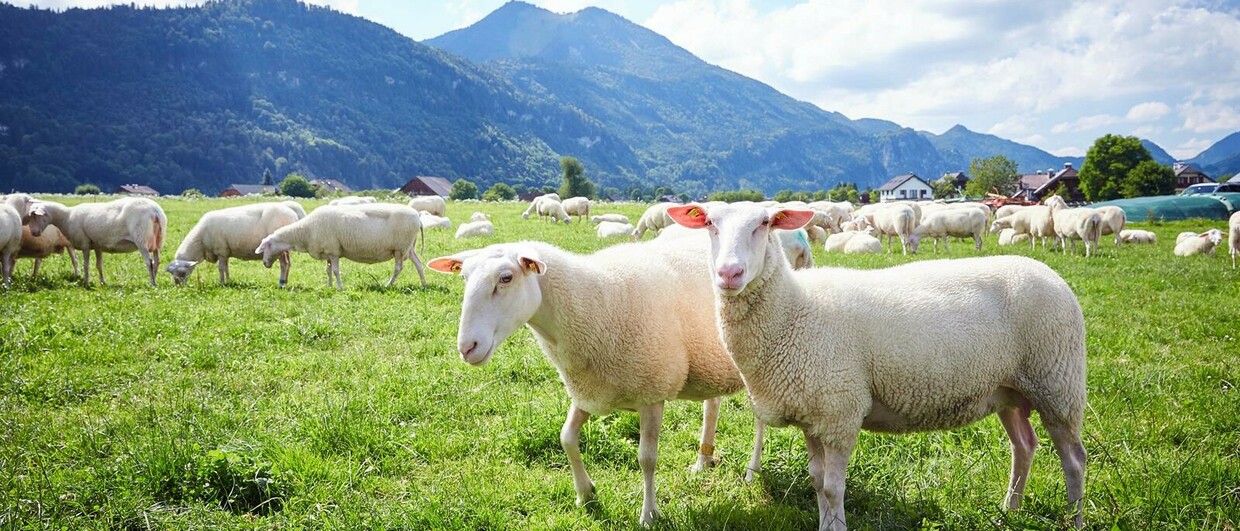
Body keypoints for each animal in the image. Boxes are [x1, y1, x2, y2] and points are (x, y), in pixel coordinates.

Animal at [25, 198, 167, 287]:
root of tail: (155, 211)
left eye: (35, 216)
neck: (66, 217)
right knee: (157, 261)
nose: (33, 233)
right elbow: (99, 265)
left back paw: (151, 283)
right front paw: (103, 282)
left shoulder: (85, 243)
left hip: (141, 238)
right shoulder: (97, 245)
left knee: (149, 262)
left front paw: (86, 283)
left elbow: (86, 265)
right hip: (158, 240)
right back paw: (155, 279)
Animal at [166, 203, 301, 286]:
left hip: (278, 247)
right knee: (288, 263)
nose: (178, 286)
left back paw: (281, 283)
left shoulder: (220, 250)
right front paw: (228, 281)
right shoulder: (225, 252)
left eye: (183, 272)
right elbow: (226, 267)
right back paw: (286, 281)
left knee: (284, 264)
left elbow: (221, 268)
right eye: (172, 273)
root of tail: (291, 211)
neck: (200, 242)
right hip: (285, 248)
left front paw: (221, 283)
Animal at [255, 203, 425, 290]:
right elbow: (328, 270)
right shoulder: (328, 253)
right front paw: (329, 286)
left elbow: (336, 271)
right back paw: (424, 284)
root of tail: (418, 217)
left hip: (400, 248)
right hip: (409, 247)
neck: (305, 231)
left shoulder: (334, 251)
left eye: (266, 246)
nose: (264, 263)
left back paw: (387, 285)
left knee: (398, 268)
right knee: (419, 264)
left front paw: (339, 287)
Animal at [425, 235, 765, 525]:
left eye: (506, 278)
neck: (595, 300)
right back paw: (703, 460)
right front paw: (585, 494)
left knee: (760, 419)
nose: (467, 348)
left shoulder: (651, 393)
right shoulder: (589, 390)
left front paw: (649, 513)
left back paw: (752, 470)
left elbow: (647, 458)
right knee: (713, 404)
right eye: (464, 278)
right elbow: (566, 437)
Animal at [666, 202, 1087, 530]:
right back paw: (1010, 510)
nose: (729, 274)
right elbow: (817, 482)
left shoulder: (840, 411)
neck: (793, 312)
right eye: (709, 224)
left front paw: (836, 527)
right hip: (1011, 389)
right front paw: (825, 523)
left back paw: (1075, 519)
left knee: (1074, 459)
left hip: (1057, 382)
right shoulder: (812, 414)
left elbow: (833, 488)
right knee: (1024, 446)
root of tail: (1049, 273)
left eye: (765, 223)